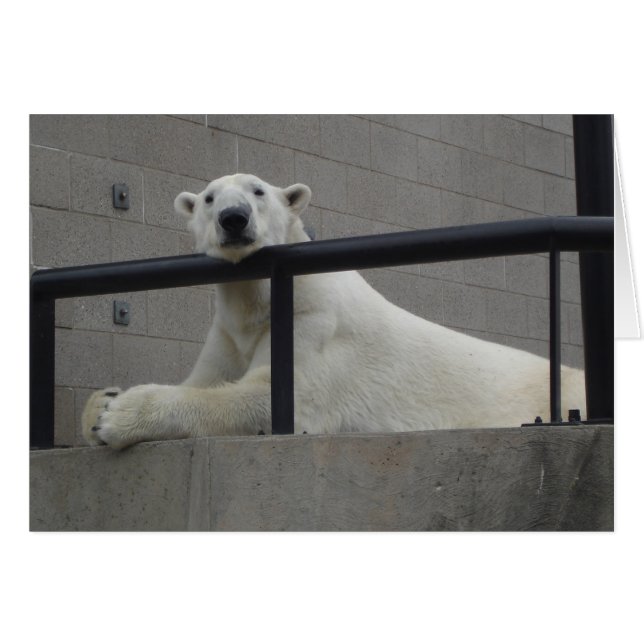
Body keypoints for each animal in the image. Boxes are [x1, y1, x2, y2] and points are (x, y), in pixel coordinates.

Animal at [82, 173, 586, 449]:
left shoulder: (314, 324)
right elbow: (205, 378)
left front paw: (118, 415)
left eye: (258, 191)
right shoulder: (228, 332)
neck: (263, 293)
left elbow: (271, 396)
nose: (233, 218)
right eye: (208, 198)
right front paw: (99, 404)